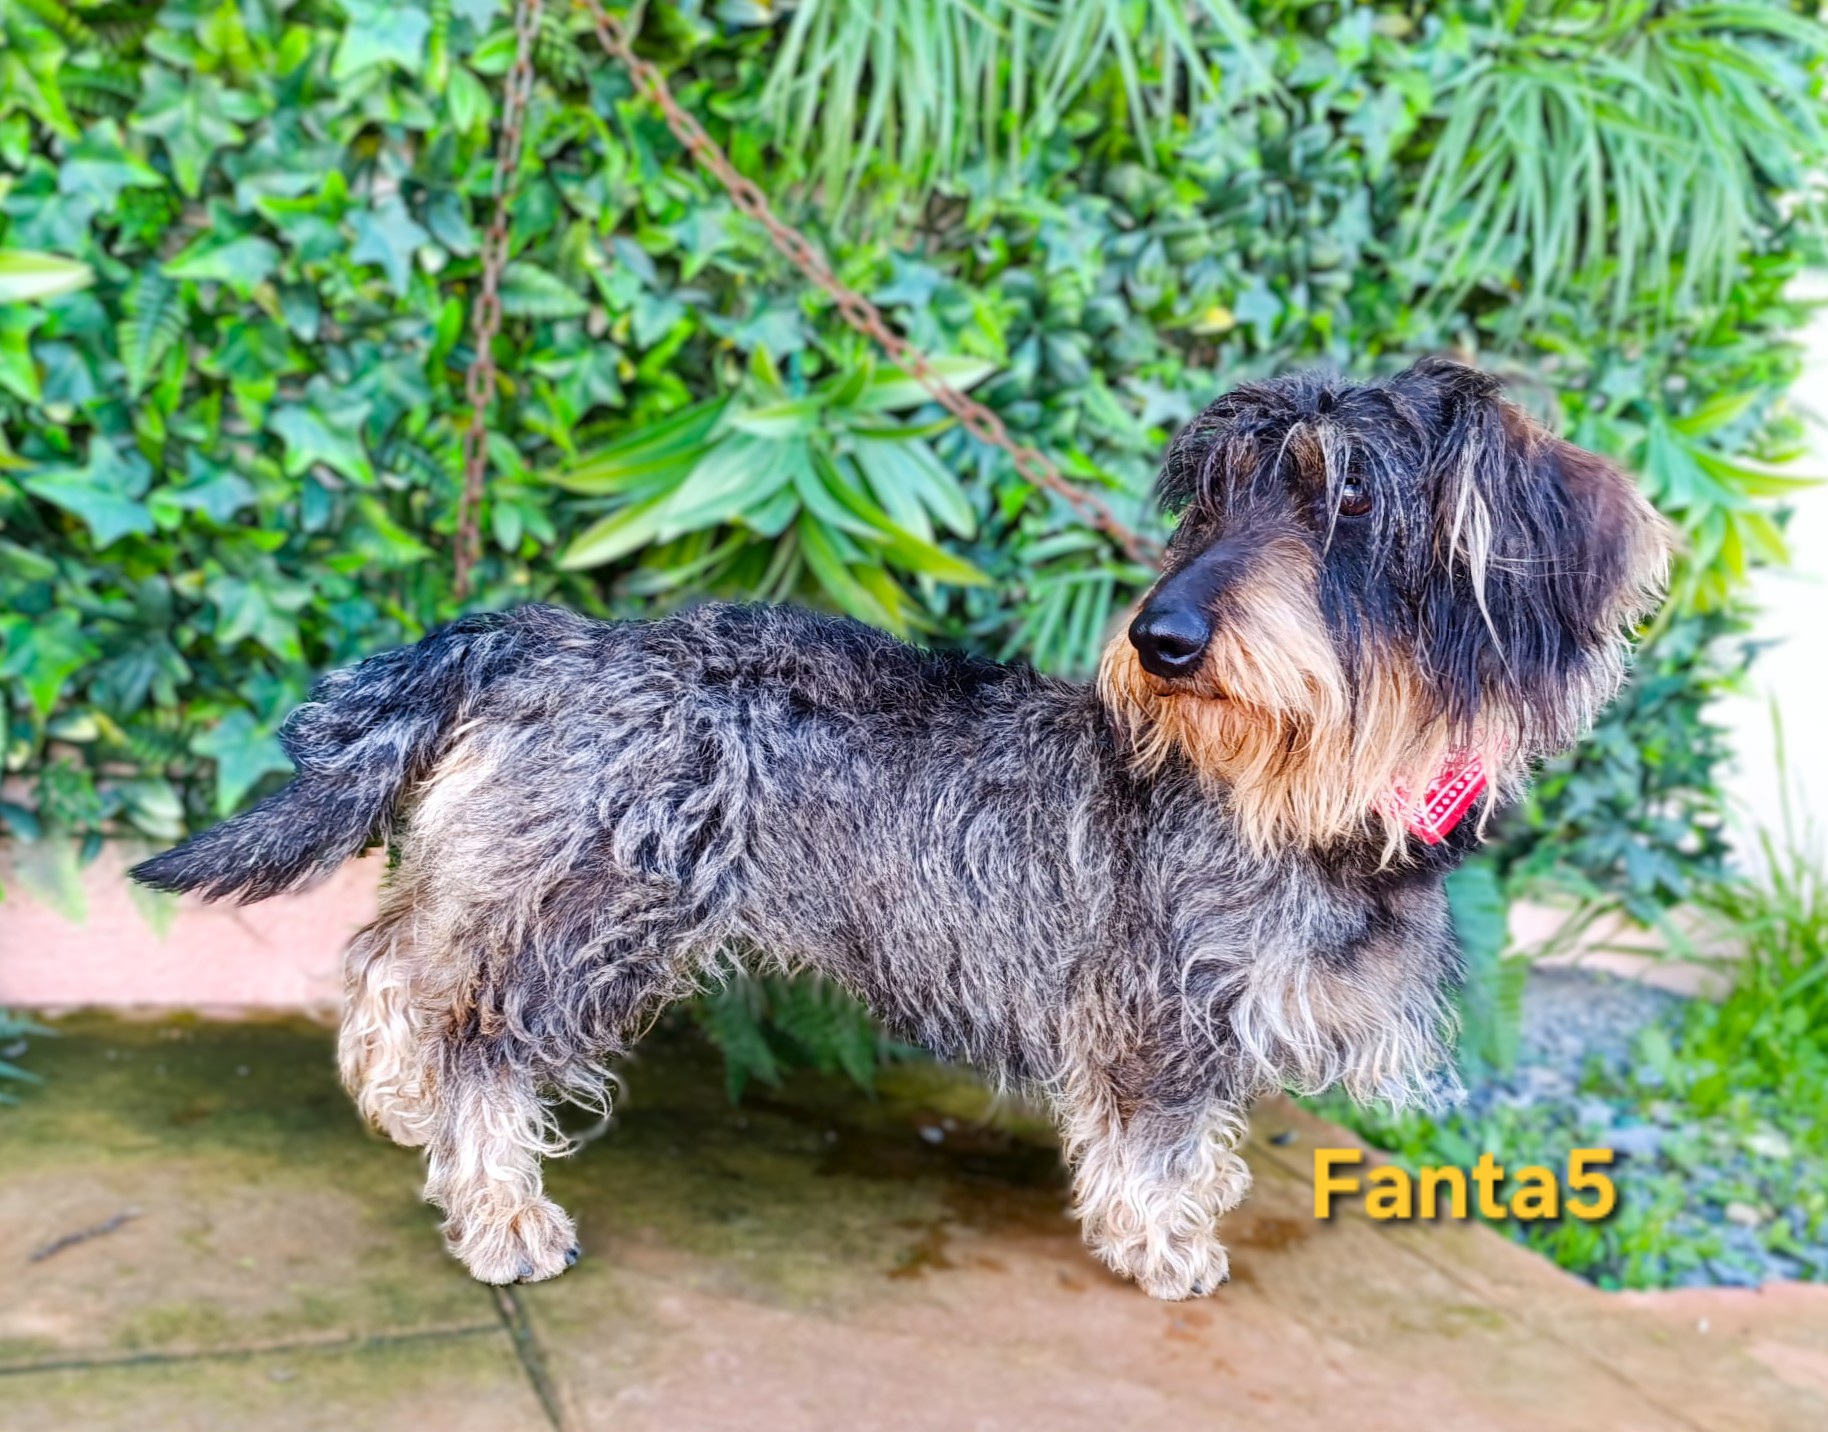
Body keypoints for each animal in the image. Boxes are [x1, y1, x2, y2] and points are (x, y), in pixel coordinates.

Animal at [133, 358, 1669, 1299]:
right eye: (1214, 501)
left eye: (1348, 496)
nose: (1156, 640)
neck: (1307, 799)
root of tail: (544, 638)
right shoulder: (1159, 1015)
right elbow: (1159, 1140)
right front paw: (1163, 1241)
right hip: (587, 916)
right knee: (476, 1041)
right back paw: (498, 1209)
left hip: (507, 881)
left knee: (397, 965)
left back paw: (396, 1096)